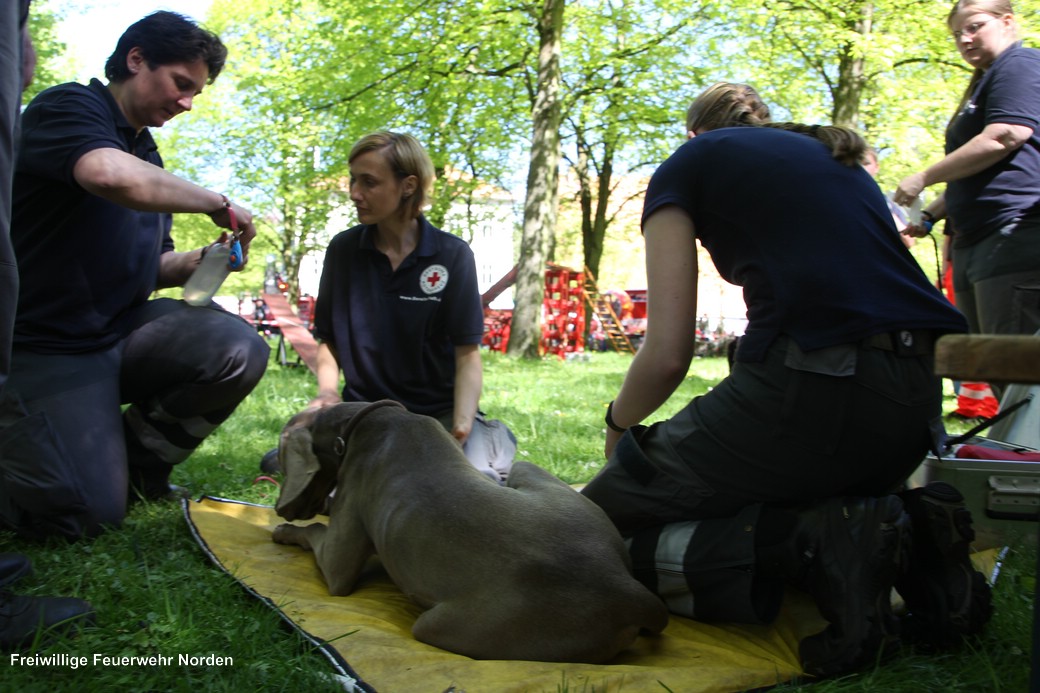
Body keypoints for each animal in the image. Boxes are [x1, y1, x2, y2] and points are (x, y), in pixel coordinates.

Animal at [272, 401, 669, 661]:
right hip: (533, 472)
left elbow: (317, 534)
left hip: (444, 624)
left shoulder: (338, 562)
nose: (283, 509)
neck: (364, 421)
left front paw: (283, 531)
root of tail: (630, 589)